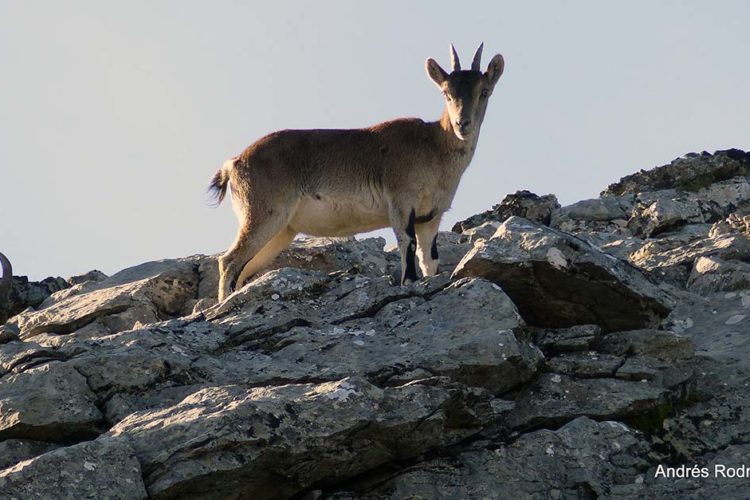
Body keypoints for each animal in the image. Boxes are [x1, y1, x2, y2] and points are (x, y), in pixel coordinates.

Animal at [210, 43, 506, 298]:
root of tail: (233, 164)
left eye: (484, 91)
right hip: (262, 214)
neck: (433, 147)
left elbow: (429, 259)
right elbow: (407, 243)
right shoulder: (401, 201)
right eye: (446, 92)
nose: (462, 124)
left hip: (281, 231)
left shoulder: (430, 217)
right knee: (229, 261)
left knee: (243, 268)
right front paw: (408, 282)